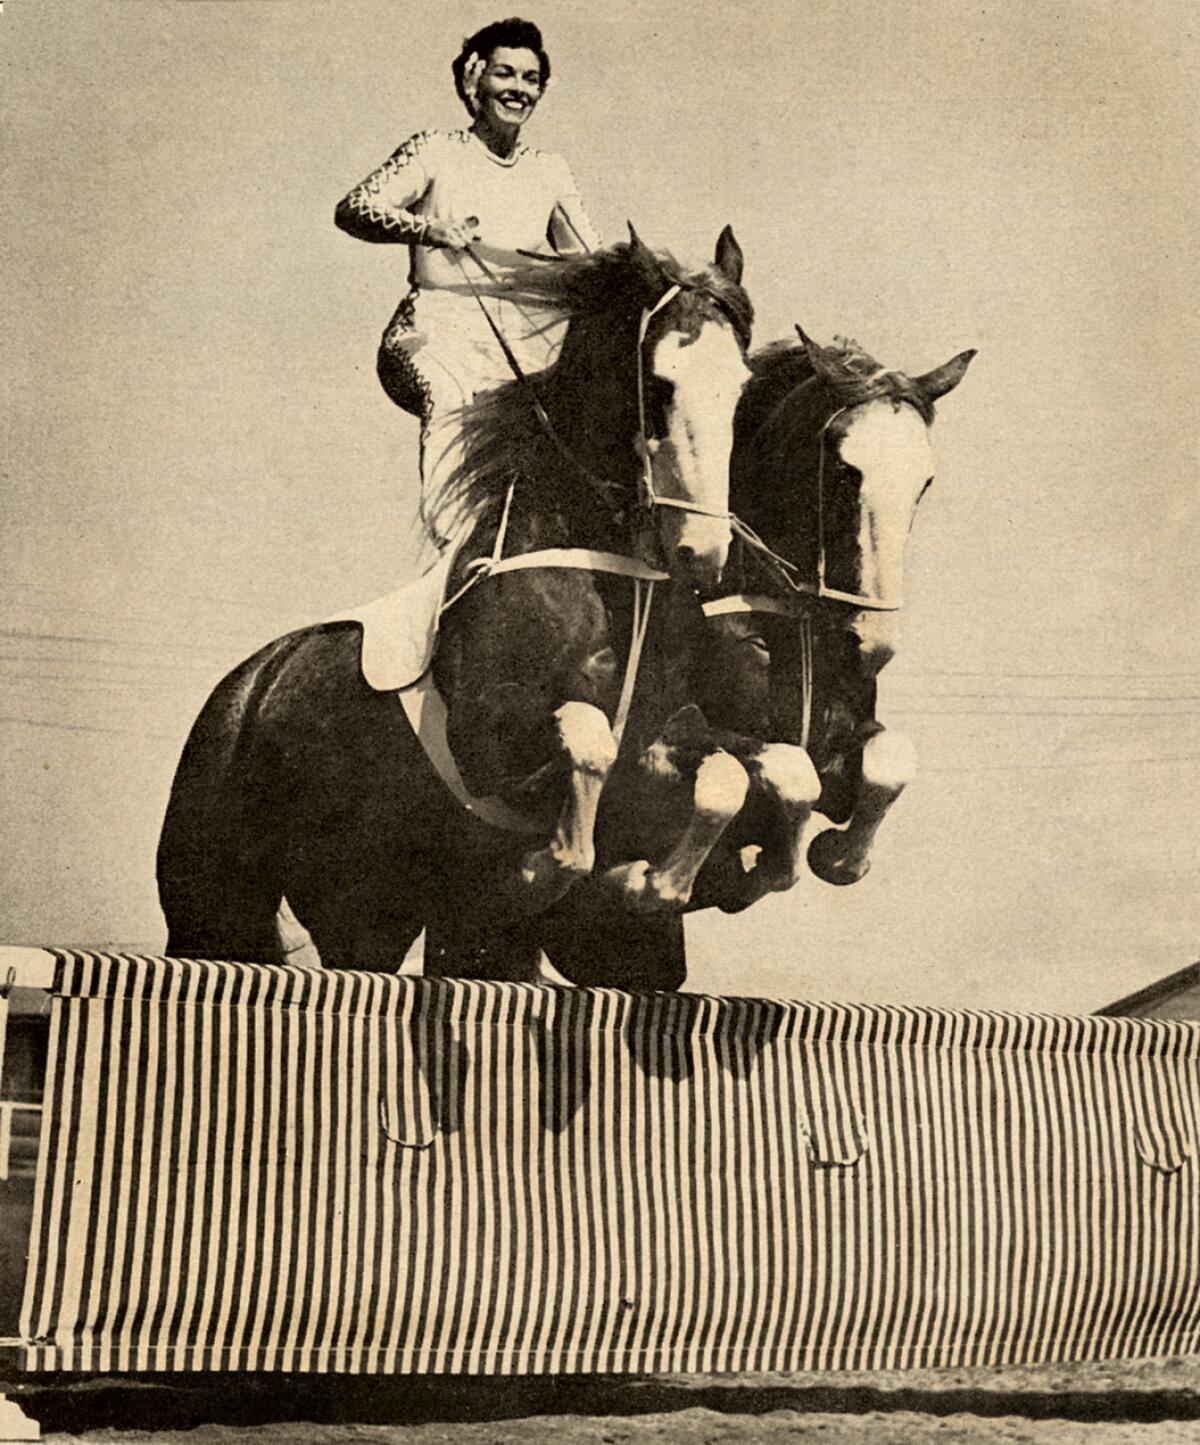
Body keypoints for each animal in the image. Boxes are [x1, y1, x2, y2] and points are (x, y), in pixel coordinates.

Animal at [157, 231, 763, 976]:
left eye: (740, 393)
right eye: (660, 384)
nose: (701, 551)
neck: (603, 570)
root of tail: (243, 688)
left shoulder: (662, 740)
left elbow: (725, 774)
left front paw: (653, 881)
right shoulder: (485, 733)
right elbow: (586, 740)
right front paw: (542, 871)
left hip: (363, 909)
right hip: (214, 899)